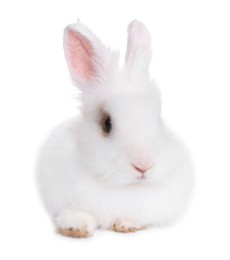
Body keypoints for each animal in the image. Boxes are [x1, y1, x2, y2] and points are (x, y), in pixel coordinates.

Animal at [36, 20, 194, 238]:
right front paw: (75, 228)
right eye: (107, 123)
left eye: (158, 120)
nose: (143, 166)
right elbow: (76, 213)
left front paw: (126, 225)